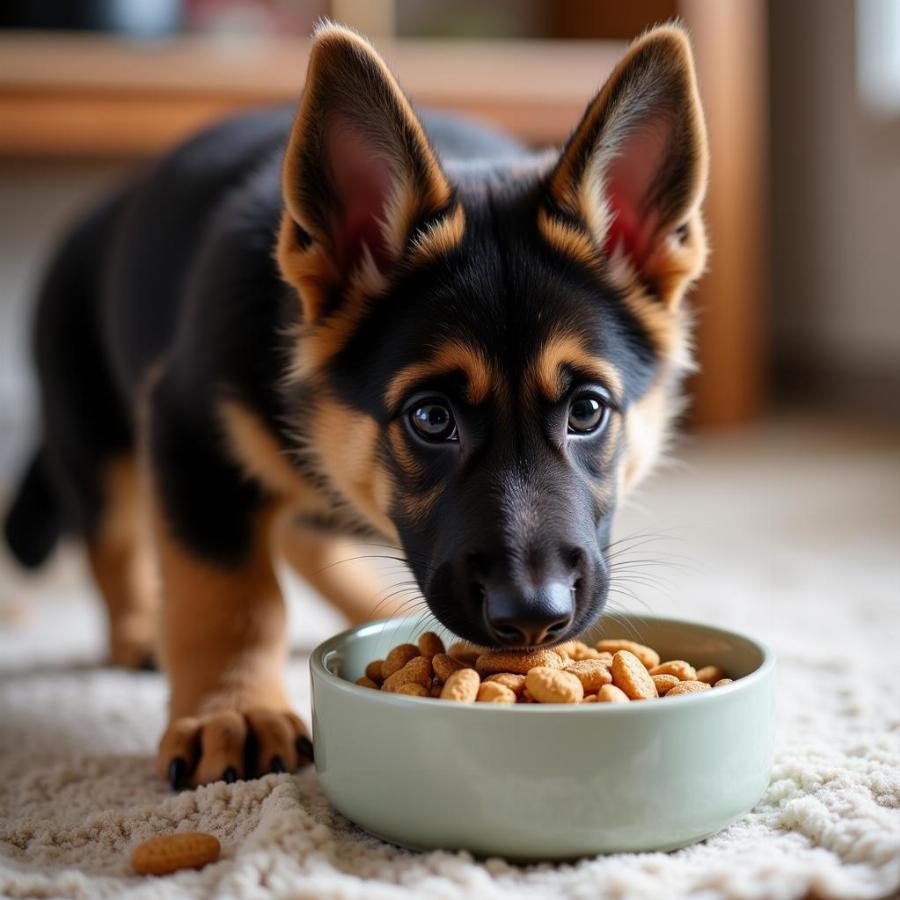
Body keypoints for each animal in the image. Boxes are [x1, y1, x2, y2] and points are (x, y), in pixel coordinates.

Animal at [3, 22, 708, 788]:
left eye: (587, 412)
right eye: (431, 418)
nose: (531, 620)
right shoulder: (190, 434)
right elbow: (227, 595)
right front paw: (234, 711)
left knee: (307, 534)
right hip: (92, 433)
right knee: (112, 537)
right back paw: (138, 631)